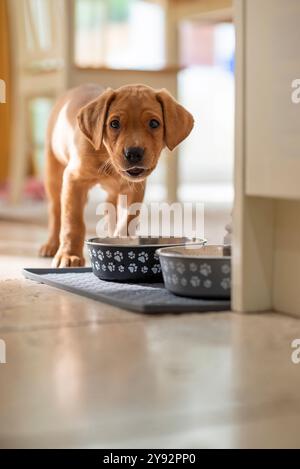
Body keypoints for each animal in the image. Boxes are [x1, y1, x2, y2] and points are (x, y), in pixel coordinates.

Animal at [39, 84, 195, 266]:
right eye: (114, 124)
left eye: (154, 123)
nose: (133, 153)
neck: (108, 159)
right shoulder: (74, 180)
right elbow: (72, 222)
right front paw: (69, 255)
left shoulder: (135, 188)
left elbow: (128, 218)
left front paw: (122, 241)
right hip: (53, 174)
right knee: (55, 211)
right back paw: (51, 245)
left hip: (113, 191)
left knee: (109, 207)